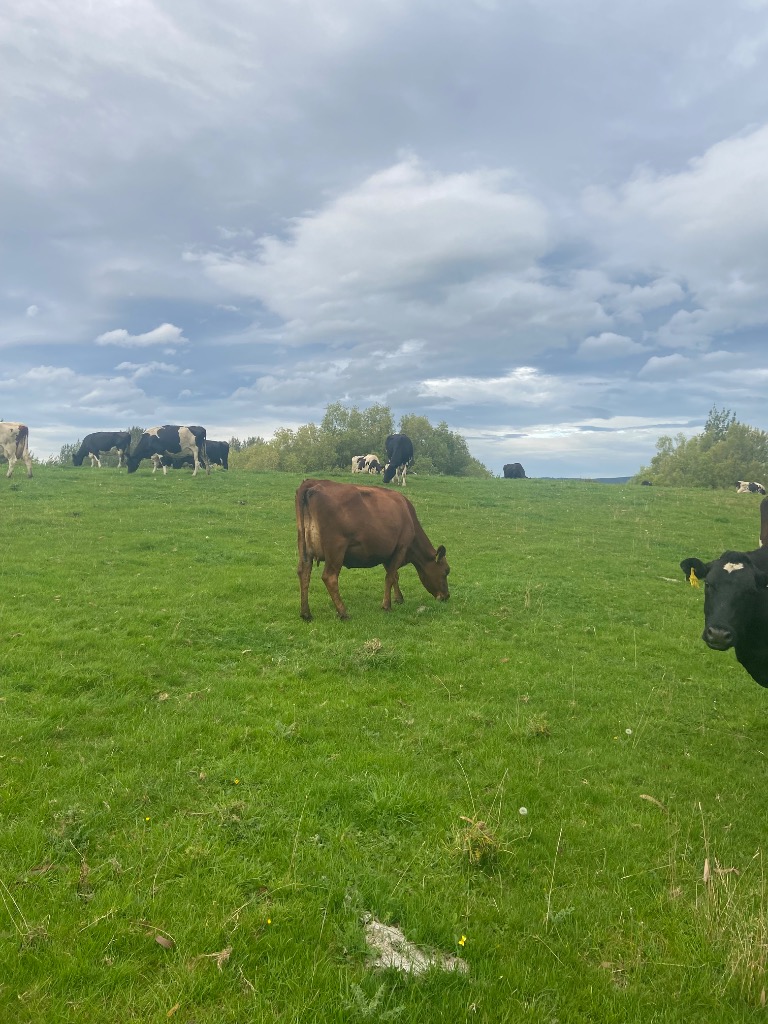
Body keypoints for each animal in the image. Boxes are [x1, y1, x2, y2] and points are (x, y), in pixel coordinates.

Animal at [296, 478, 450, 620]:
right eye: (446, 571)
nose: (446, 596)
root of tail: (312, 482)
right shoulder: (401, 547)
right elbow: (390, 577)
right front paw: (386, 605)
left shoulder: (388, 552)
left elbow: (394, 575)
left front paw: (398, 598)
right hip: (336, 548)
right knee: (329, 577)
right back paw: (343, 612)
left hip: (305, 548)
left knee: (303, 572)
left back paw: (306, 613)